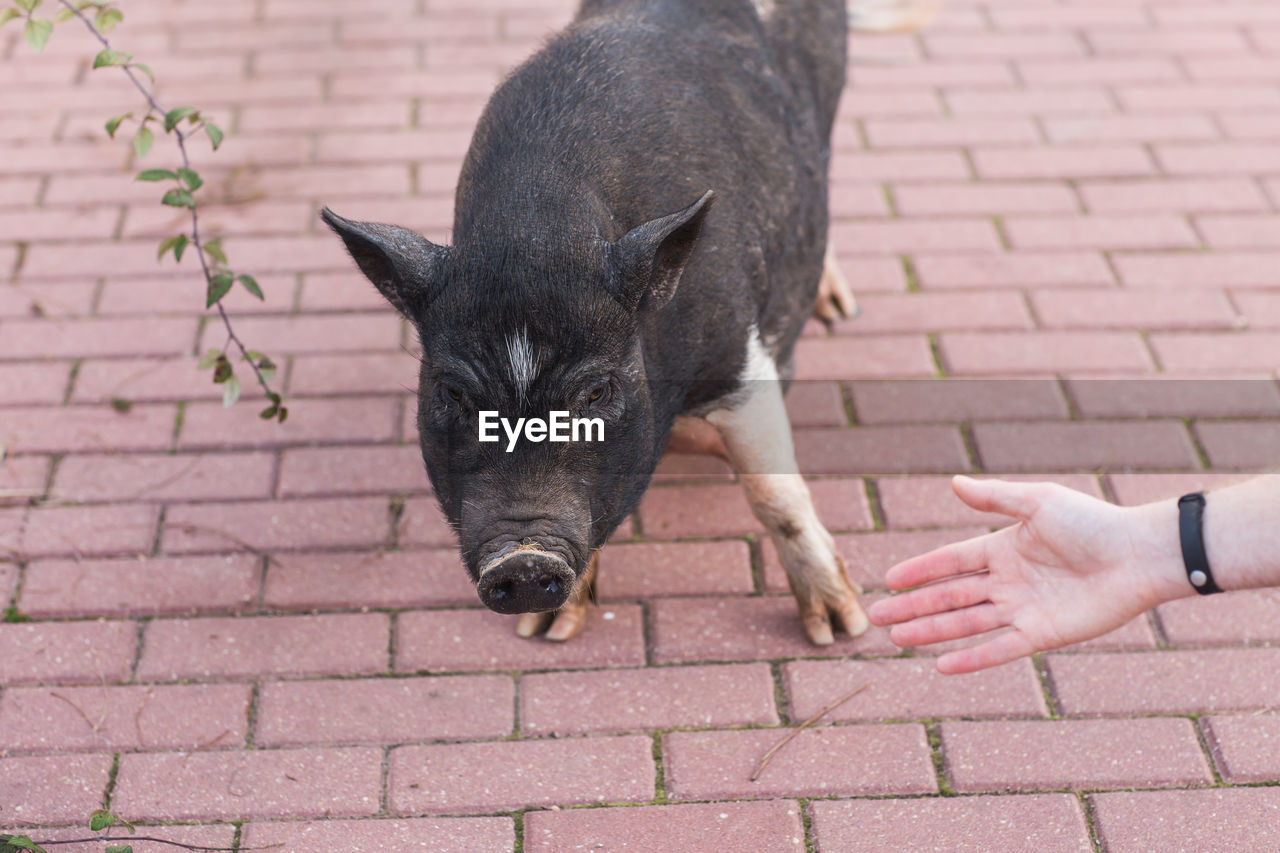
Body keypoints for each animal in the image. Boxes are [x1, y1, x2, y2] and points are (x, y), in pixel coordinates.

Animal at [322, 0, 870, 640]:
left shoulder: (737, 355)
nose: (523, 561)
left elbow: (773, 493)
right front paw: (546, 633)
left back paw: (837, 307)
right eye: (452, 391)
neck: (537, 232)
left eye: (597, 391)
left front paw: (841, 628)